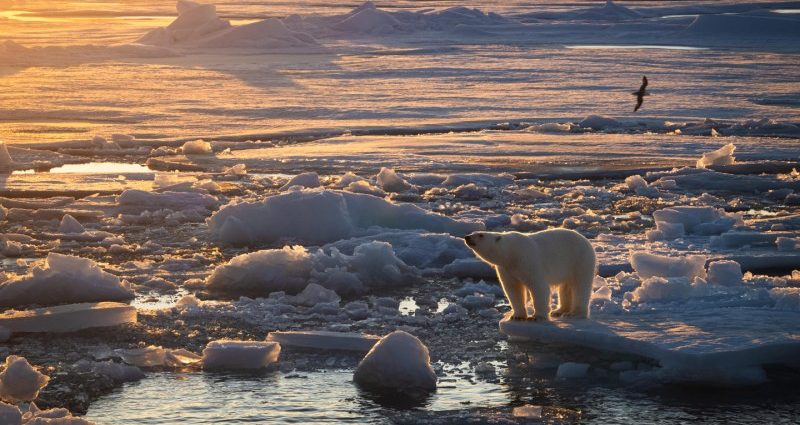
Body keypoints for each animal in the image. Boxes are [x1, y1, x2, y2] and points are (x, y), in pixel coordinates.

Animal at [464, 229, 596, 321]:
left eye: (481, 235)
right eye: (473, 232)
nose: (467, 237)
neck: (512, 253)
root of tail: (586, 241)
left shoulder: (527, 260)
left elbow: (538, 286)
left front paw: (537, 316)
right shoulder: (506, 269)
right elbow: (513, 289)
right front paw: (517, 316)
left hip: (580, 260)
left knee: (580, 286)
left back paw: (574, 313)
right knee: (565, 287)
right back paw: (559, 311)